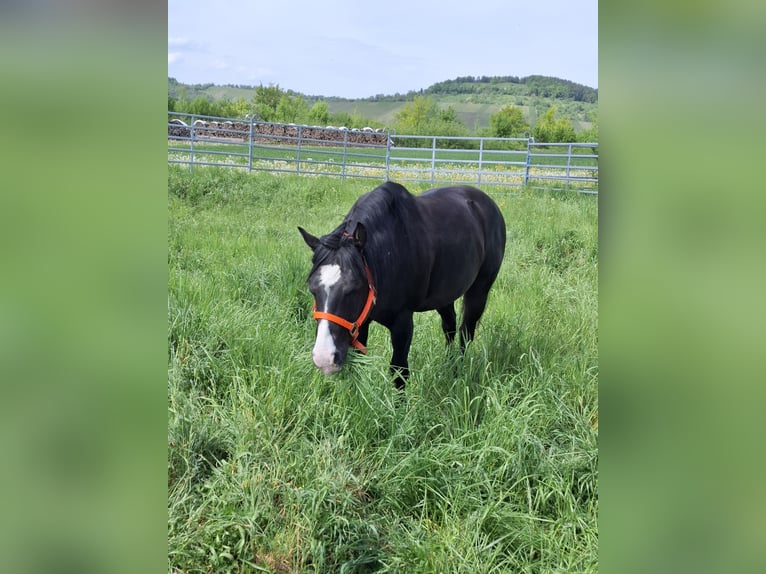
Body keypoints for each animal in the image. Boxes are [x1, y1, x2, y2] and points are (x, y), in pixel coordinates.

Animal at [299, 181, 506, 389]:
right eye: (312, 289)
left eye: (353, 288)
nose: (324, 359)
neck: (387, 254)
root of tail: (488, 204)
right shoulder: (361, 322)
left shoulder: (402, 322)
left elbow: (399, 371)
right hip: (444, 295)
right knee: (450, 327)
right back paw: (449, 365)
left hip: (479, 291)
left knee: (466, 333)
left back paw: (459, 370)